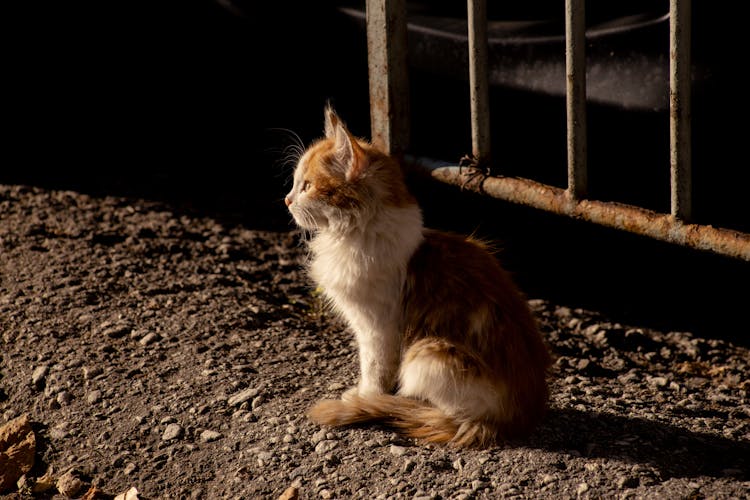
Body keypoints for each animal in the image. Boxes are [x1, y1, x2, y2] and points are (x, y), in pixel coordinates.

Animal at [284, 104, 556, 446]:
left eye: (306, 186)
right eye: (294, 183)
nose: (286, 200)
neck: (355, 235)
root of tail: (518, 421)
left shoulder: (377, 328)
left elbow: (374, 371)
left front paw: (364, 397)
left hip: (428, 356)